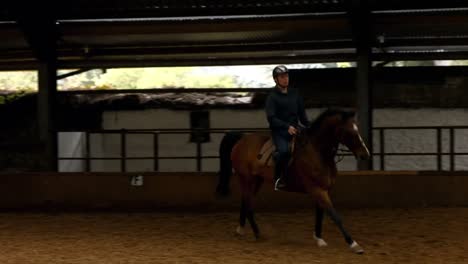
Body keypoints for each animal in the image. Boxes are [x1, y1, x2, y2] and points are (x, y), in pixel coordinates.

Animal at [218, 109, 372, 254]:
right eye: (349, 131)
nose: (365, 155)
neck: (317, 152)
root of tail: (242, 138)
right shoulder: (318, 190)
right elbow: (335, 216)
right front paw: (354, 244)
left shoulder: (323, 189)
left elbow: (320, 214)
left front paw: (319, 238)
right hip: (246, 179)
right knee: (248, 203)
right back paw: (257, 233)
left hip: (256, 181)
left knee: (246, 202)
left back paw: (240, 229)